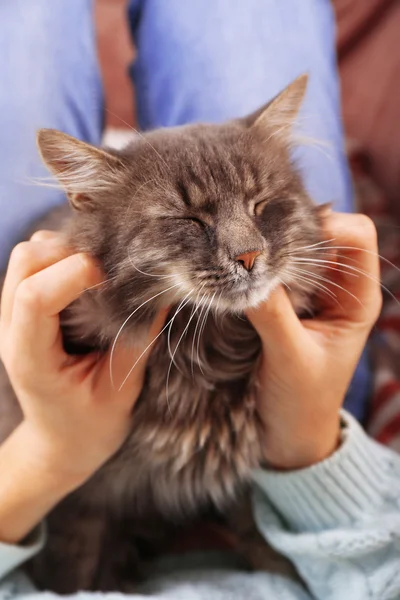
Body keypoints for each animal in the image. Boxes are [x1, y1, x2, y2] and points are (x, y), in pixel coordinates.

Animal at [0, 75, 324, 592]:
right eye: (188, 220)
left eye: (261, 205)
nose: (249, 255)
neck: (203, 348)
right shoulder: (80, 503)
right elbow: (72, 572)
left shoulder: (239, 481)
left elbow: (264, 542)